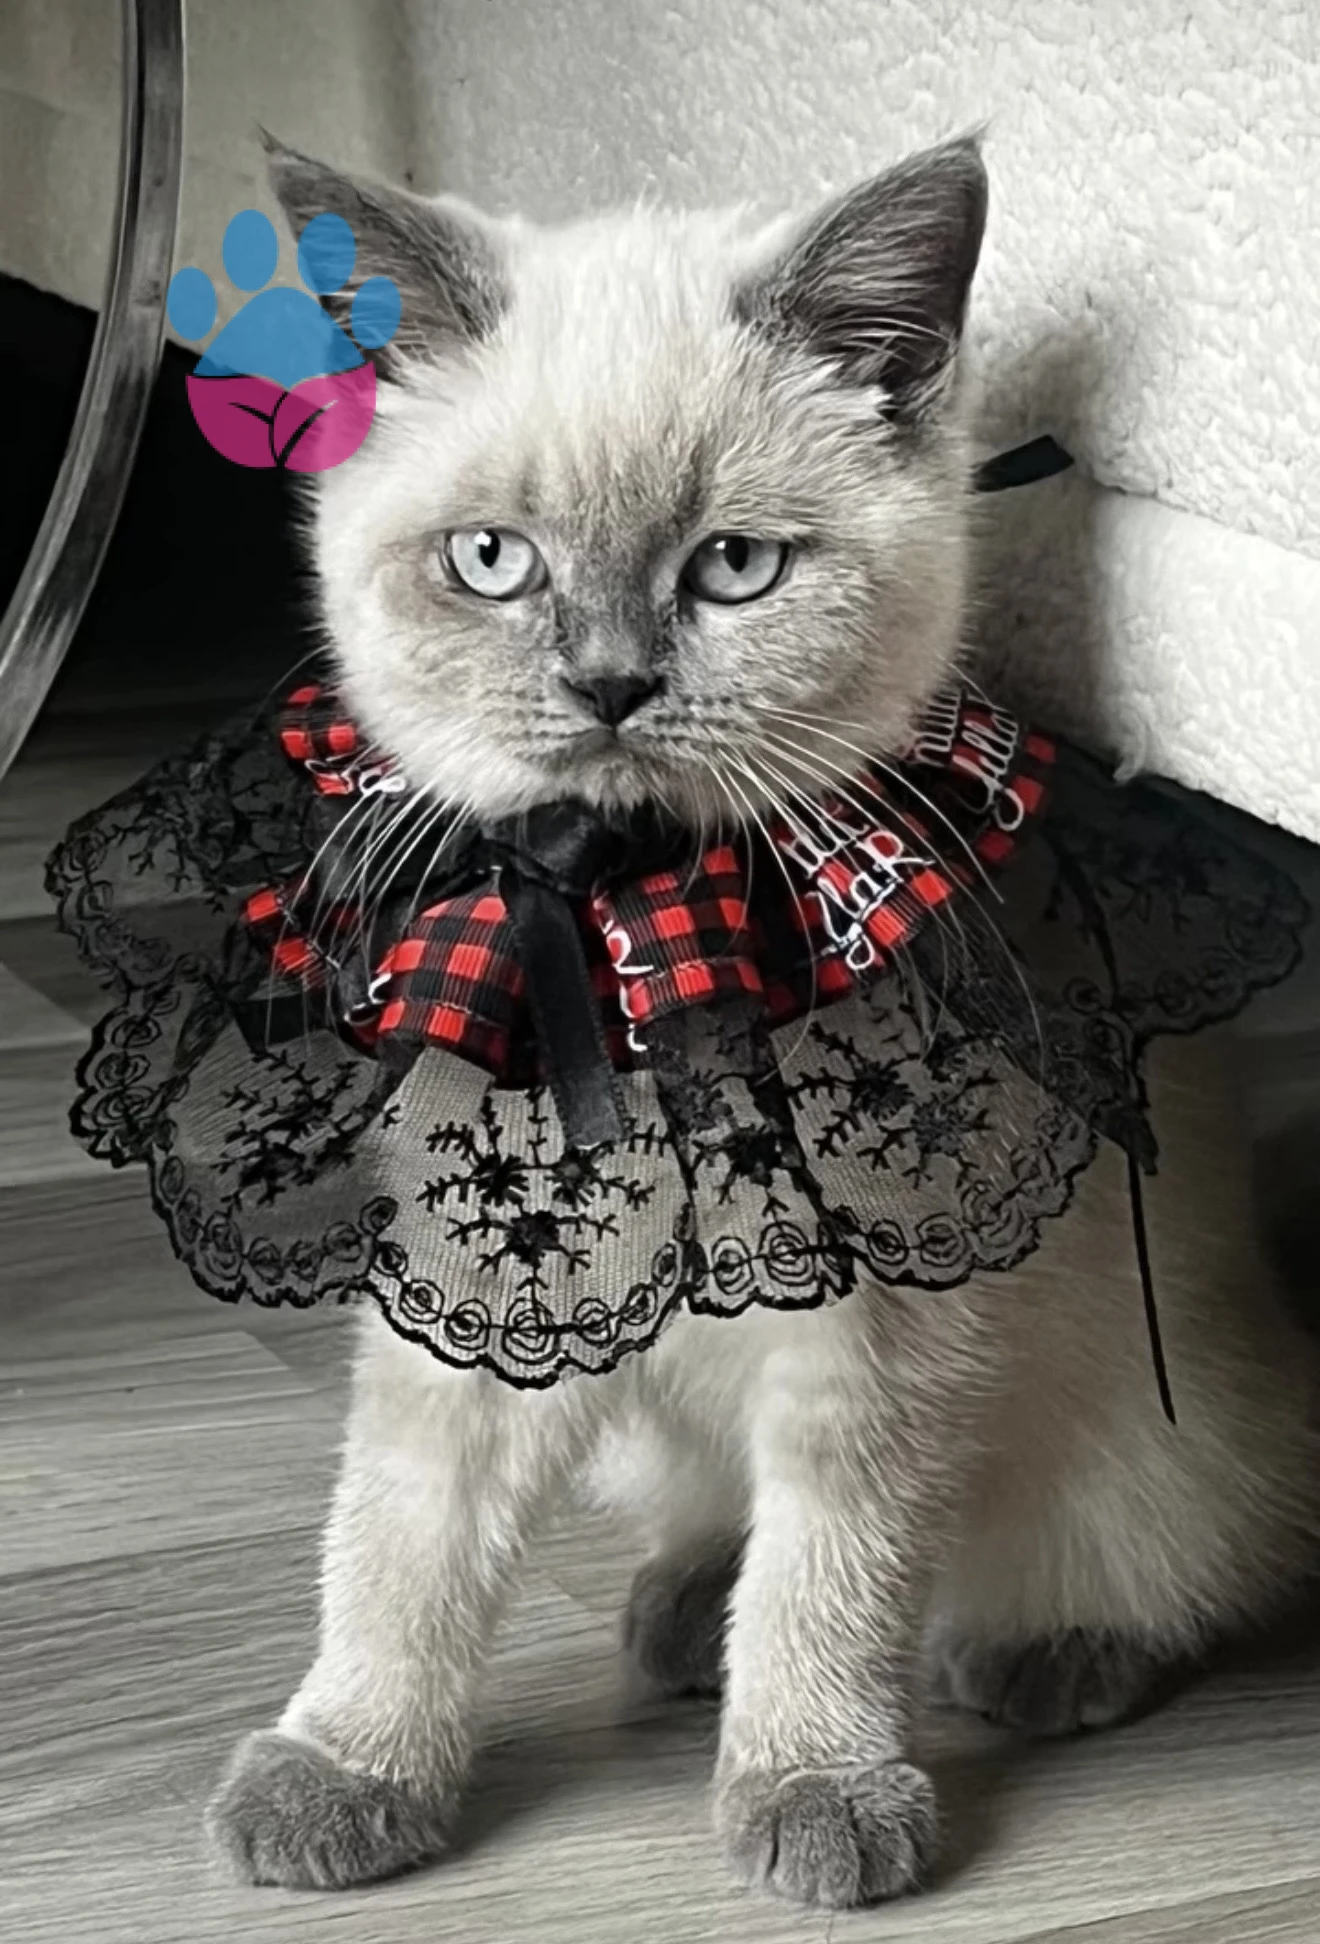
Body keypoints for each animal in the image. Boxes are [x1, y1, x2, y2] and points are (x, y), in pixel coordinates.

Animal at [205, 134, 1320, 1908]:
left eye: (733, 568)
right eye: (493, 562)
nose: (606, 686)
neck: (637, 925)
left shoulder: (877, 1339)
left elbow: (831, 1583)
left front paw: (816, 1792)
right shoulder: (476, 1288)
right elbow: (397, 1545)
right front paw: (347, 1770)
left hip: (1151, 1439)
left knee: (1158, 1558)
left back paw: (1044, 1654)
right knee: (710, 1524)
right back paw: (676, 1616)